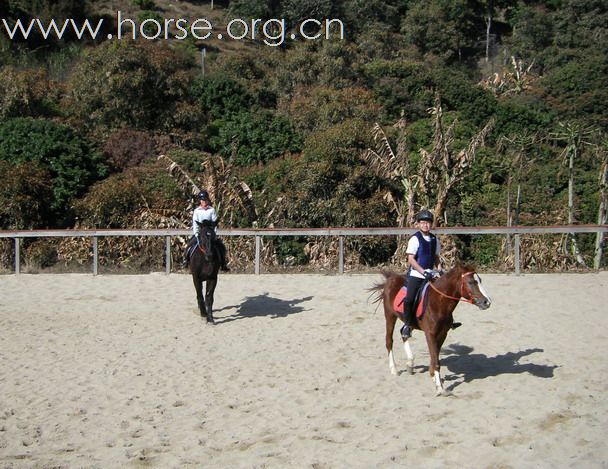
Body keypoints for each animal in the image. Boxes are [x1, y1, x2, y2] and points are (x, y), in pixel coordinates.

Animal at [368, 264, 492, 394]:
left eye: (480, 280)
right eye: (471, 282)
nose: (487, 302)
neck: (438, 302)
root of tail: (391, 279)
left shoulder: (442, 334)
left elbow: (435, 356)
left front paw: (434, 377)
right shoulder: (430, 334)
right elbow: (436, 360)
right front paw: (440, 388)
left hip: (410, 323)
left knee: (403, 333)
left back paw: (410, 363)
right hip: (390, 316)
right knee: (389, 341)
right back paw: (394, 369)